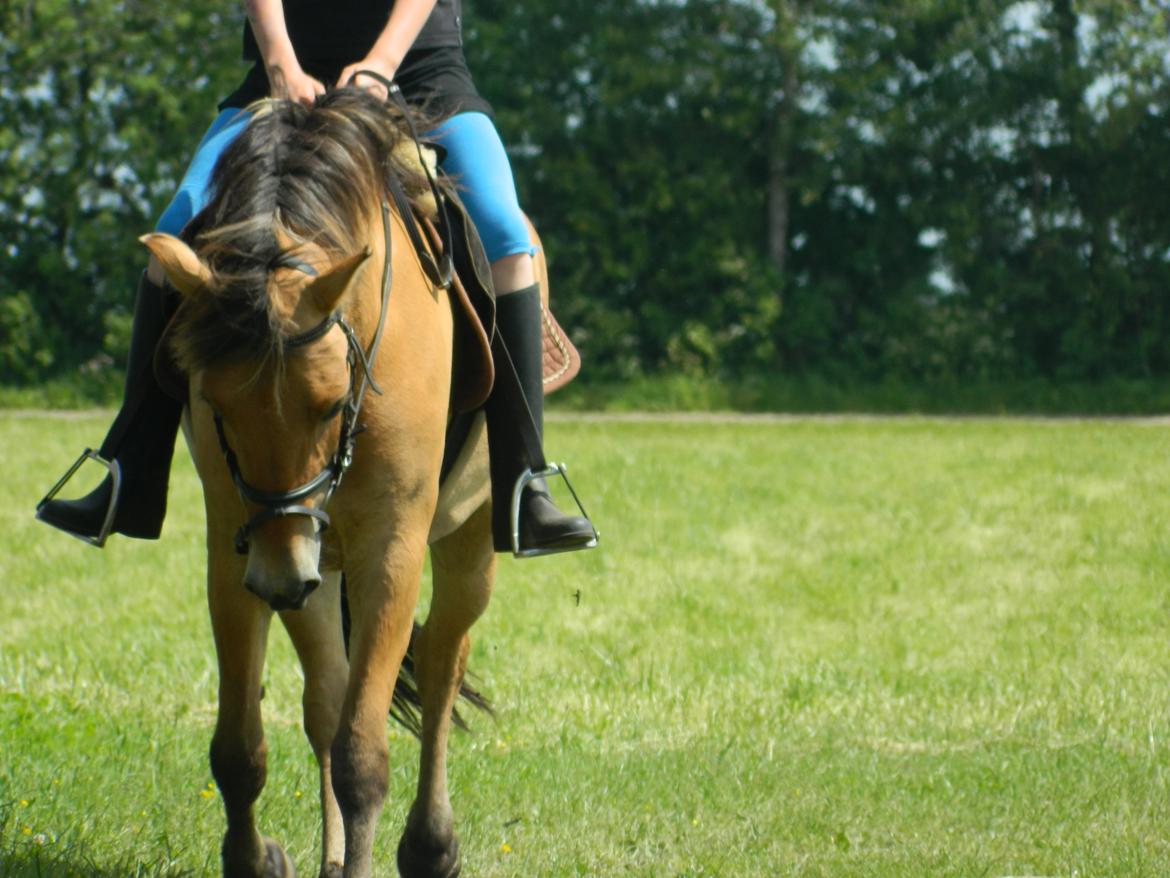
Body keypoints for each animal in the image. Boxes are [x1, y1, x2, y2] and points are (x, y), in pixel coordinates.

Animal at [141, 91, 498, 878]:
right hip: (312, 565)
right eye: (215, 405)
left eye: (334, 405)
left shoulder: (389, 551)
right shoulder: (236, 550)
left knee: (442, 663)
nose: (280, 574)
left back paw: (431, 845)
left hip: (463, 539)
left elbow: (364, 756)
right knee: (328, 698)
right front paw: (256, 858)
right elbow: (240, 750)